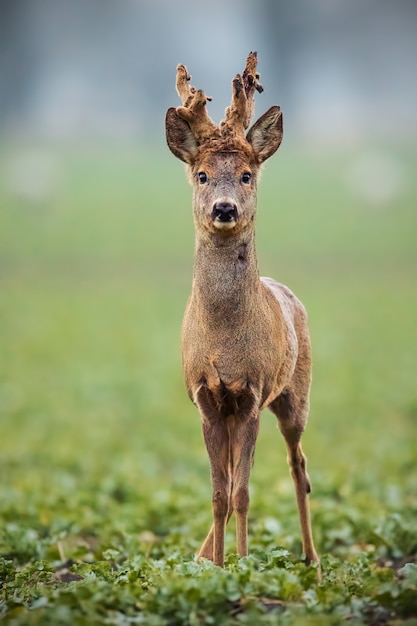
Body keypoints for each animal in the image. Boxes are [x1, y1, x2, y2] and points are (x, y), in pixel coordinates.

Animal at [164, 52, 316, 564]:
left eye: (247, 175)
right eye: (202, 175)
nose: (225, 209)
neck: (224, 344)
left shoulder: (252, 394)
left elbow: (243, 493)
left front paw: (245, 564)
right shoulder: (207, 400)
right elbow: (219, 493)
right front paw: (215, 565)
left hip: (295, 395)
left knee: (298, 465)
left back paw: (312, 561)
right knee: (234, 484)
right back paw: (202, 555)